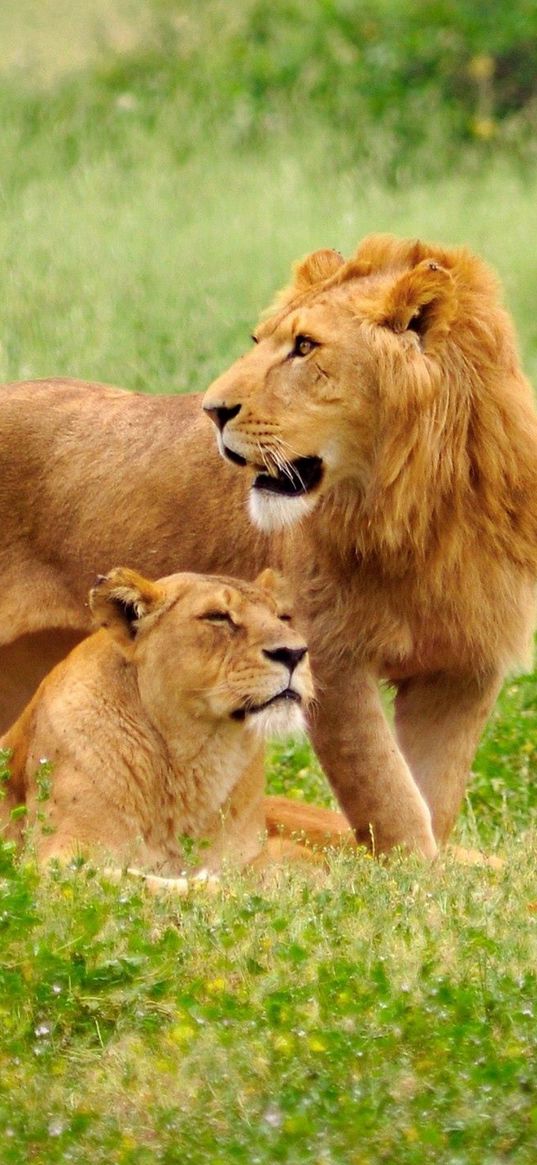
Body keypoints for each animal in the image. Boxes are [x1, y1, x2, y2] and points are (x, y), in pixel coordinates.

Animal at [0, 566, 351, 880]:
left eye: (282, 618)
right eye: (217, 617)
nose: (294, 653)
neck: (195, 761)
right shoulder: (59, 860)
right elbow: (138, 880)